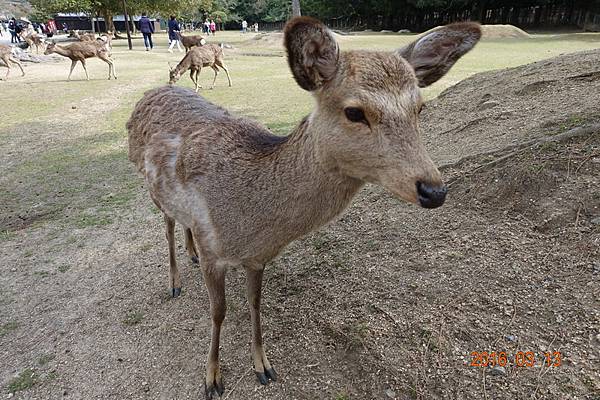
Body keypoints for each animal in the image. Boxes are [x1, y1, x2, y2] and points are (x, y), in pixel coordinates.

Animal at [125, 16, 478, 400]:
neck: (249, 221)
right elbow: (218, 312)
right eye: (354, 112)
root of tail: (149, 93)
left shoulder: (257, 257)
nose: (434, 190)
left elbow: (254, 304)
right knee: (167, 225)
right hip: (151, 188)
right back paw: (174, 281)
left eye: (419, 108)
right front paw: (212, 378)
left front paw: (263, 366)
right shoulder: (213, 251)